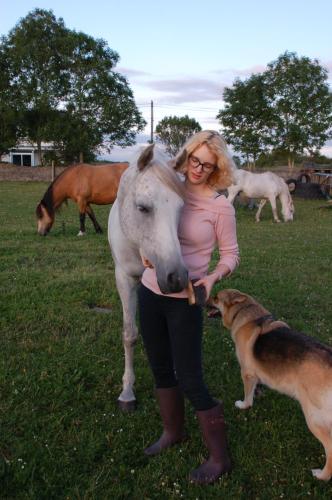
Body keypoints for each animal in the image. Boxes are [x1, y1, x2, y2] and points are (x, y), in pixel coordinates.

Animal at [107, 144, 188, 410]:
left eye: (182, 209)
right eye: (142, 207)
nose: (177, 278)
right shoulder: (124, 279)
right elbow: (130, 334)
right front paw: (127, 392)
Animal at [210, 290, 332, 480]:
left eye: (216, 298)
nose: (205, 300)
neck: (244, 311)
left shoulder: (247, 373)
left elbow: (247, 395)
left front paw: (244, 405)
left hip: (313, 418)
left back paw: (321, 475)